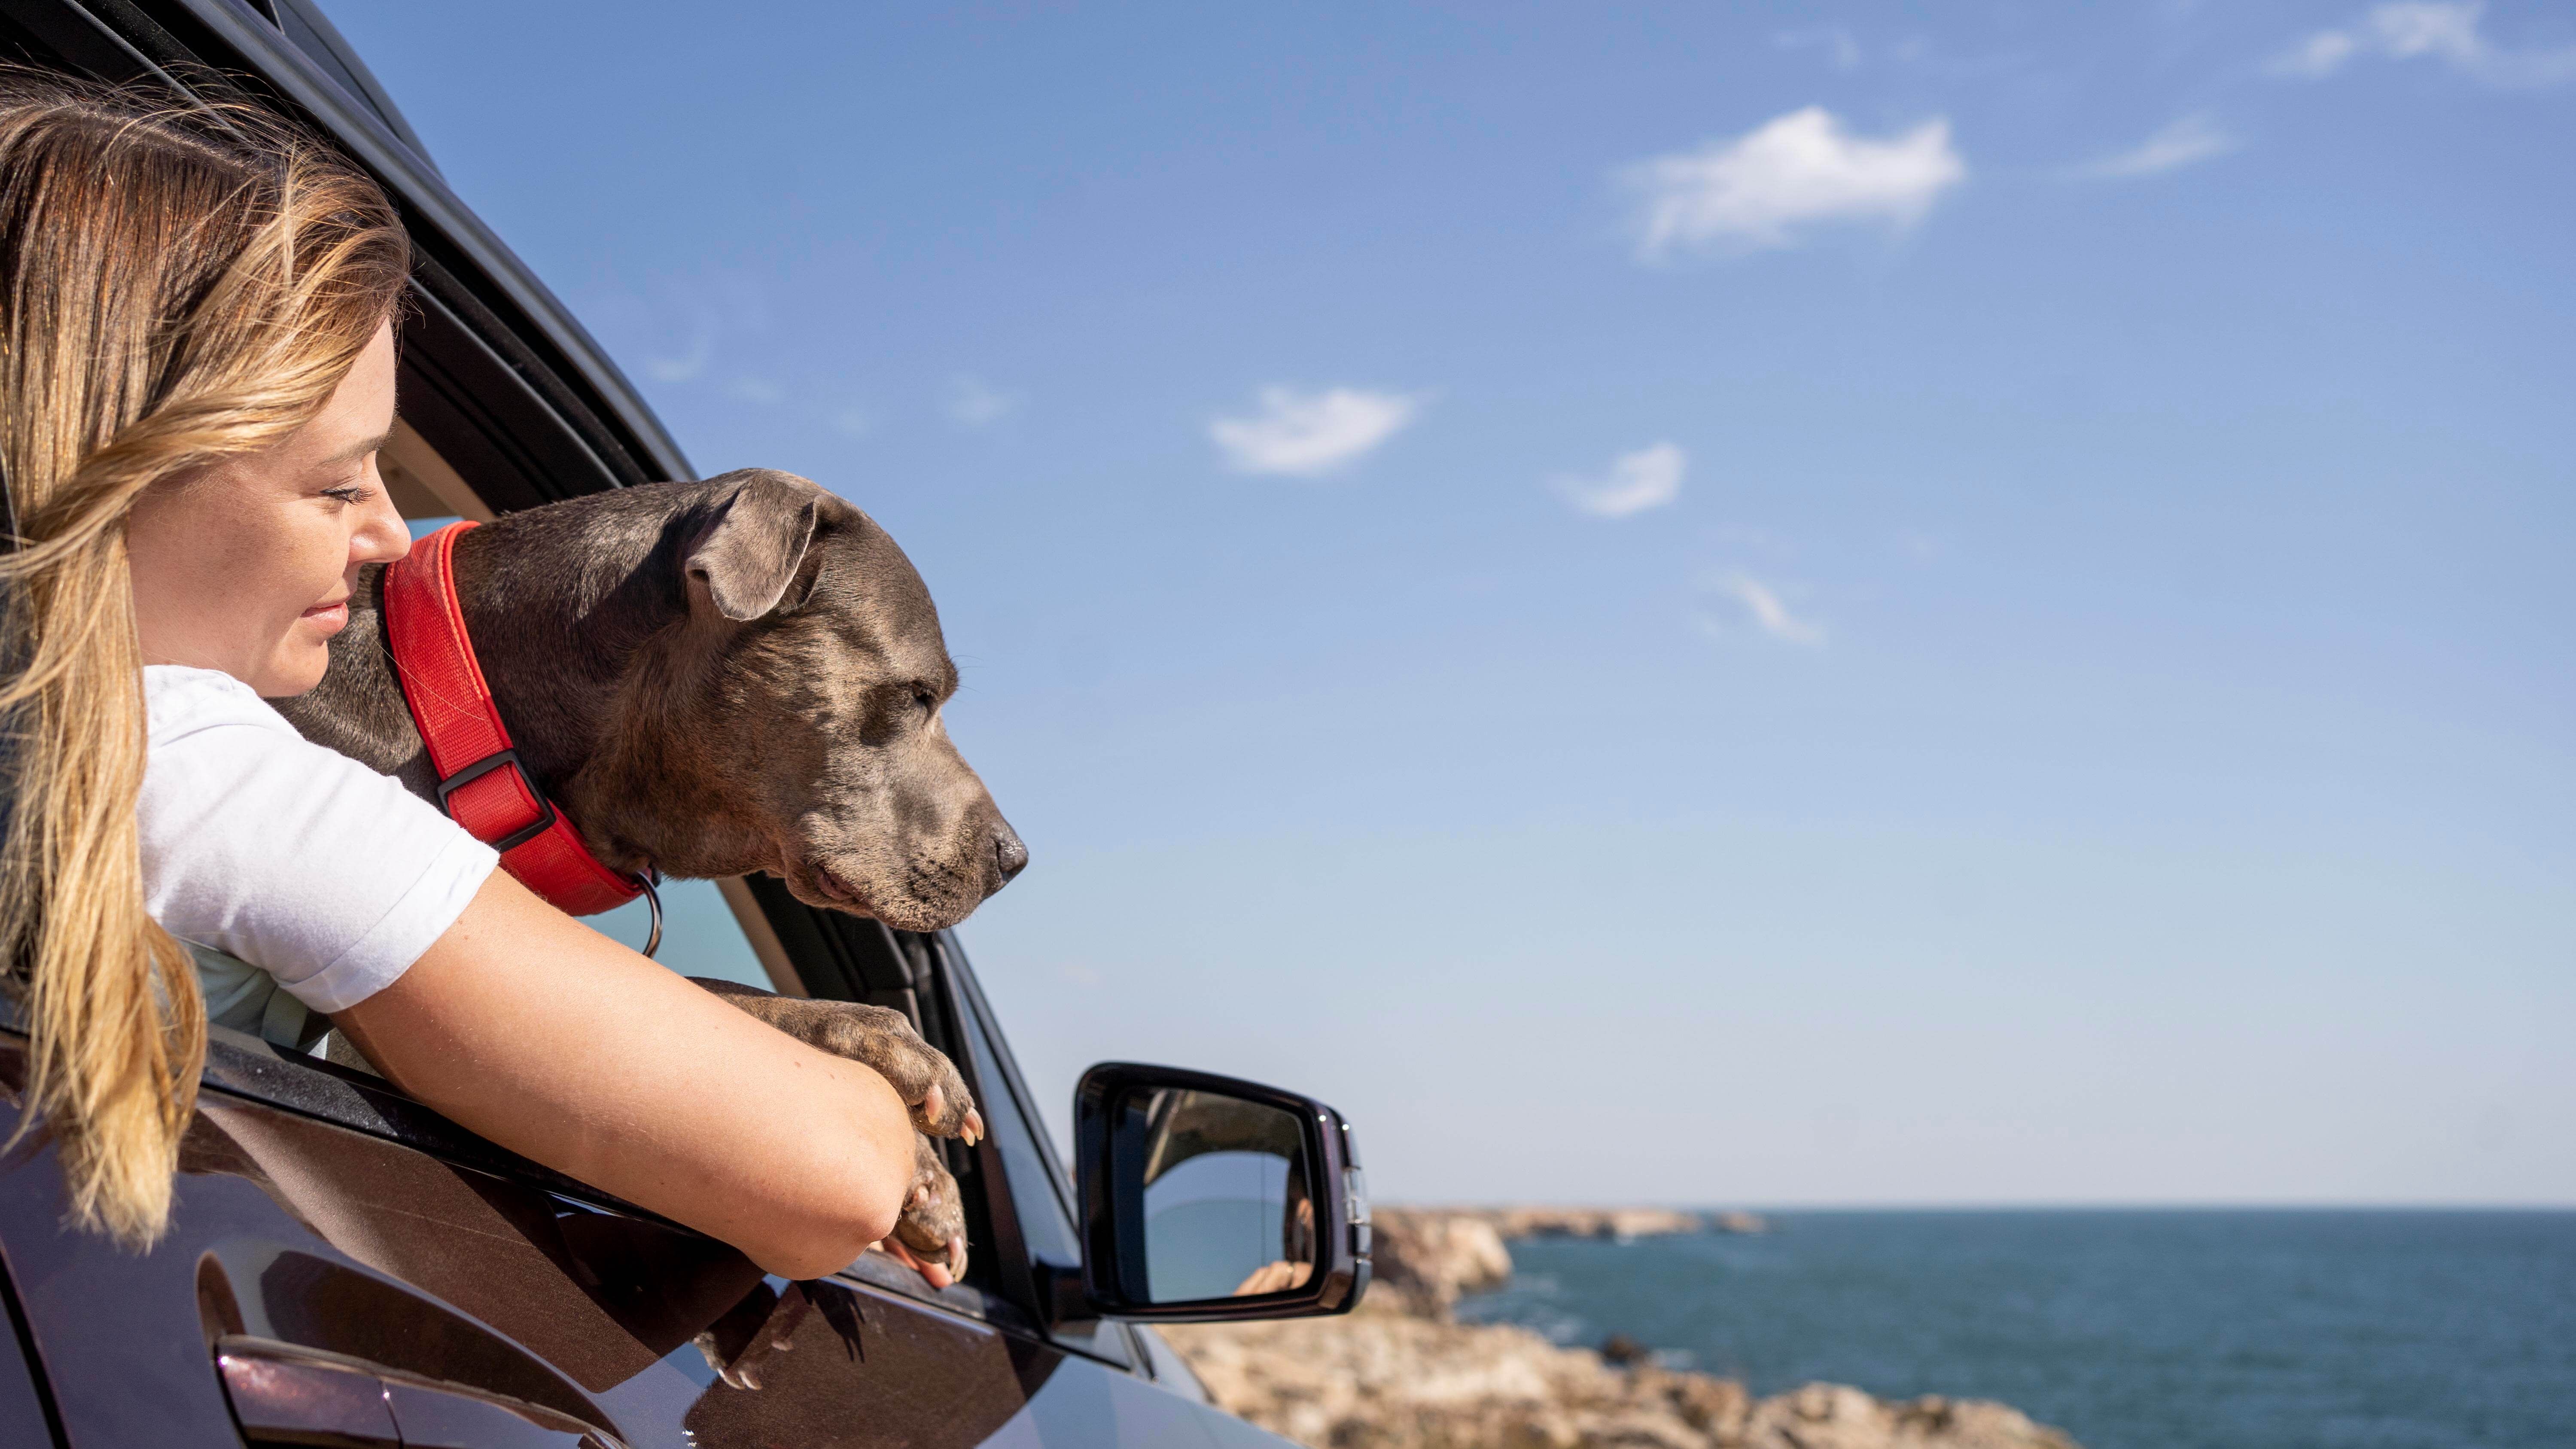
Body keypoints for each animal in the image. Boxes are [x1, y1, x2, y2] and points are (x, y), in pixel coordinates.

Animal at [271, 471, 1015, 1276]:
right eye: (918, 694)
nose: (1014, 857)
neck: (466, 721)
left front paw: (928, 1186)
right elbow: (704, 989)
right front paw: (892, 1045)